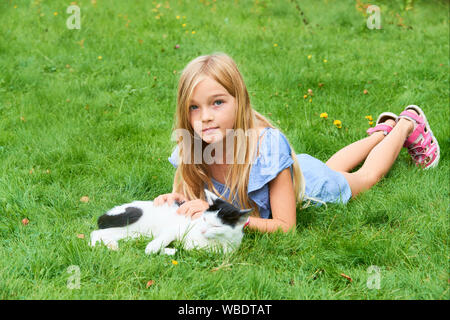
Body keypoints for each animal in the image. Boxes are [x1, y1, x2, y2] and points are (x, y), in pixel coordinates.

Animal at [89, 189, 251, 254]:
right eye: (204, 219)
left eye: (216, 226)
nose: (202, 230)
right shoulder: (176, 228)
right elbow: (166, 237)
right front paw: (152, 248)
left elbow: (181, 249)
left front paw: (168, 250)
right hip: (130, 220)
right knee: (95, 232)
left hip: (133, 233)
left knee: (103, 234)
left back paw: (112, 246)